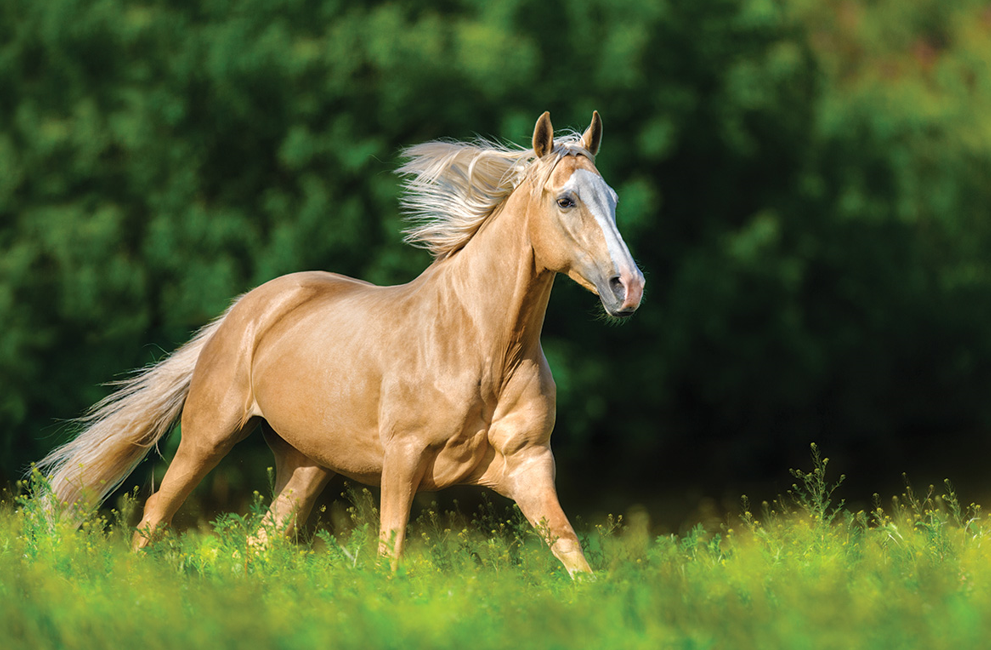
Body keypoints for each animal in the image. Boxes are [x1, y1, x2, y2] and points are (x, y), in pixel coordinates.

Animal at [36, 110, 644, 572]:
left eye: (613, 198)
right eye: (565, 201)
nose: (628, 286)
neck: (481, 347)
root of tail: (246, 310)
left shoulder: (530, 465)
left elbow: (574, 557)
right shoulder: (402, 460)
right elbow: (388, 557)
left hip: (305, 466)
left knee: (259, 542)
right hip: (207, 437)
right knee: (154, 516)